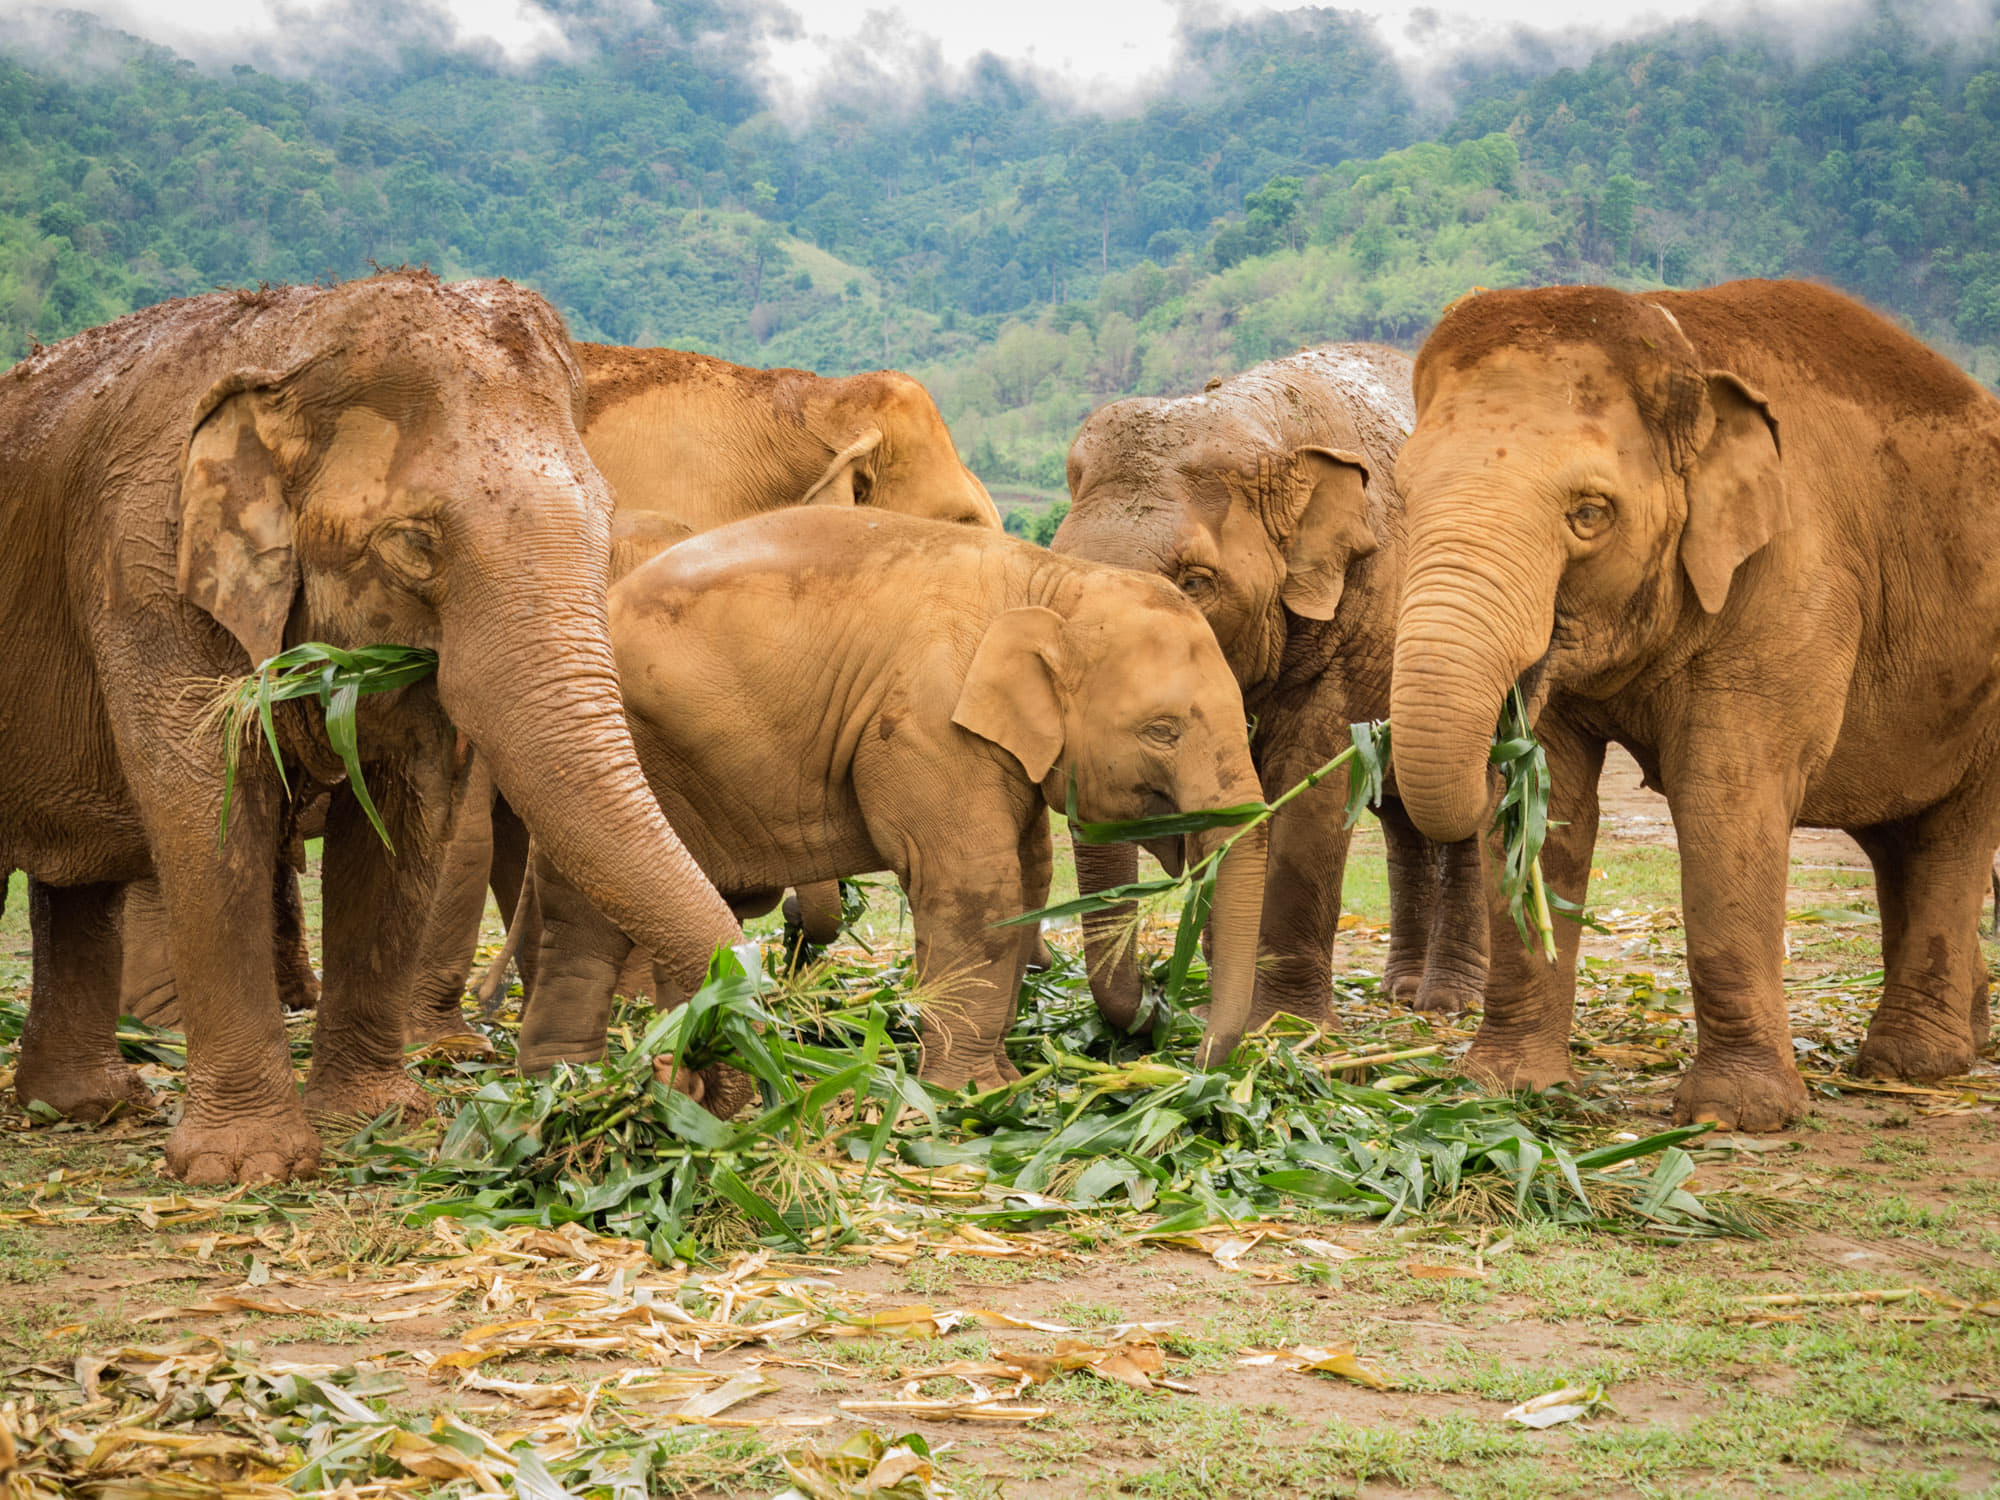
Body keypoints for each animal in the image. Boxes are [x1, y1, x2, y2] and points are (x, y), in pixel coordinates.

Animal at [1, 272, 742, 1182]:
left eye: (606, 523)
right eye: (416, 545)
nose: (684, 1068)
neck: (290, 334)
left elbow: (403, 818)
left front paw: (376, 1119)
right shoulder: (142, 563)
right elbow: (208, 811)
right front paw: (246, 1168)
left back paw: (87, 1107)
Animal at [517, 508, 1270, 1088]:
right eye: (1162, 731)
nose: (1182, 1050)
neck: (1050, 583)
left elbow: (1026, 881)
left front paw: (1001, 1082)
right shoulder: (927, 724)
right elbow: (977, 887)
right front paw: (970, 1096)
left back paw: (602, 1074)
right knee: (588, 917)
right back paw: (583, 1080)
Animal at [1052, 346, 1487, 1037]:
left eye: (1196, 582)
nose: (1156, 1002)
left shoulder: (1358, 620)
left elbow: (1309, 792)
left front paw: (1285, 1027)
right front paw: (1218, 1009)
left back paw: (1447, 1003)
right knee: (1399, 811)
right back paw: (1400, 990)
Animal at [1387, 279, 2000, 1131]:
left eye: (1589, 513)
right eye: (1405, 497)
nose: (1498, 739)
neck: (1685, 350)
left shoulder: (1794, 576)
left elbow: (1726, 797)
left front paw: (1738, 1115)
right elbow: (1561, 804)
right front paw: (1505, 1089)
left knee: (1953, 832)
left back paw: (1912, 1065)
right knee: (1897, 838)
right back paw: (1961, 1039)